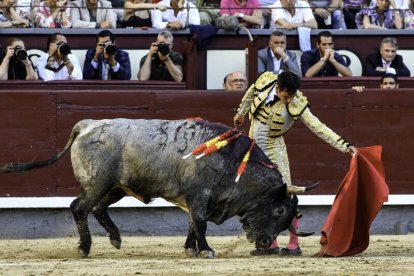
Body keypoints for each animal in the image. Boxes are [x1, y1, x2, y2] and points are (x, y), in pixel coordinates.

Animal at [1, 119, 314, 258]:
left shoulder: (193, 199)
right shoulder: (199, 196)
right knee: (80, 207)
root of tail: (87, 125)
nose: (265, 243)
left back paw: (115, 239)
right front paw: (206, 250)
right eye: (280, 210)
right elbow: (200, 222)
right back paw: (84, 247)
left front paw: (190, 249)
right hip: (97, 182)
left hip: (116, 187)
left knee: (99, 208)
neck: (234, 161)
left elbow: (192, 224)